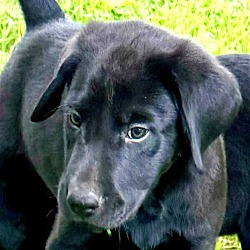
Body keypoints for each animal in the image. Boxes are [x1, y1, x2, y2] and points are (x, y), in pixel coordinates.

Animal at [0, 0, 246, 250]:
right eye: (75, 119)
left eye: (137, 131)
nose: (79, 203)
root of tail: (47, 23)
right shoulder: (68, 236)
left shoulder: (197, 237)